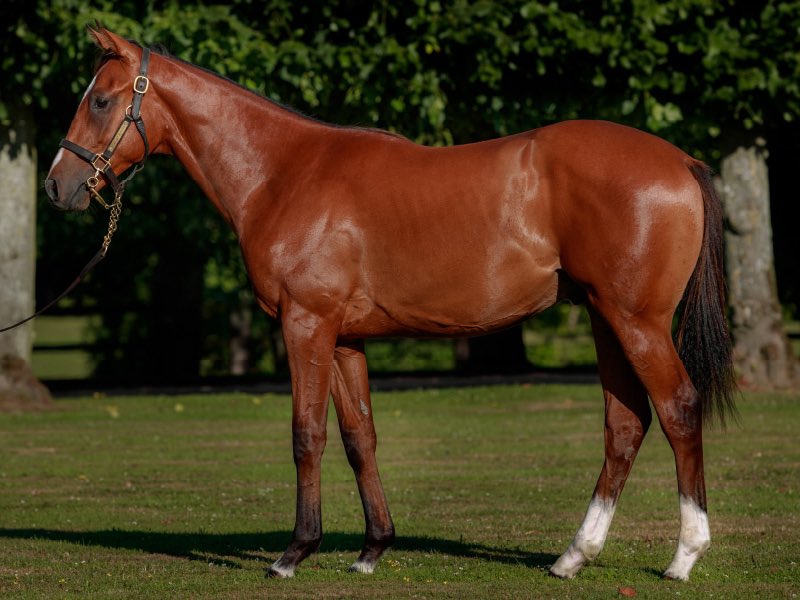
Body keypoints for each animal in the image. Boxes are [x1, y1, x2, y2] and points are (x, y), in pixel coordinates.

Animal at [44, 27, 736, 581]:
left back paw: (684, 556)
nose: (57, 184)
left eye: (100, 100)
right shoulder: (344, 338)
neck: (283, 174)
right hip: (603, 317)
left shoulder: (306, 326)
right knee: (626, 425)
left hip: (636, 322)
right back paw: (573, 556)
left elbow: (307, 434)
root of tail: (681, 161)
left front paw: (295, 552)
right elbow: (360, 437)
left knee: (678, 410)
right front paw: (373, 547)